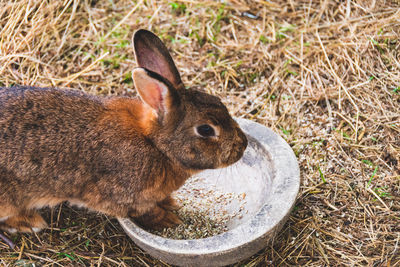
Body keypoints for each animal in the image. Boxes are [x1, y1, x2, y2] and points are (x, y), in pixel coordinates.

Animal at [0, 29, 247, 234]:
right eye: (205, 129)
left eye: (218, 101)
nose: (242, 144)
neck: (156, 145)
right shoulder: (125, 198)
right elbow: (146, 212)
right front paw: (169, 219)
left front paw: (170, 203)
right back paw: (29, 222)